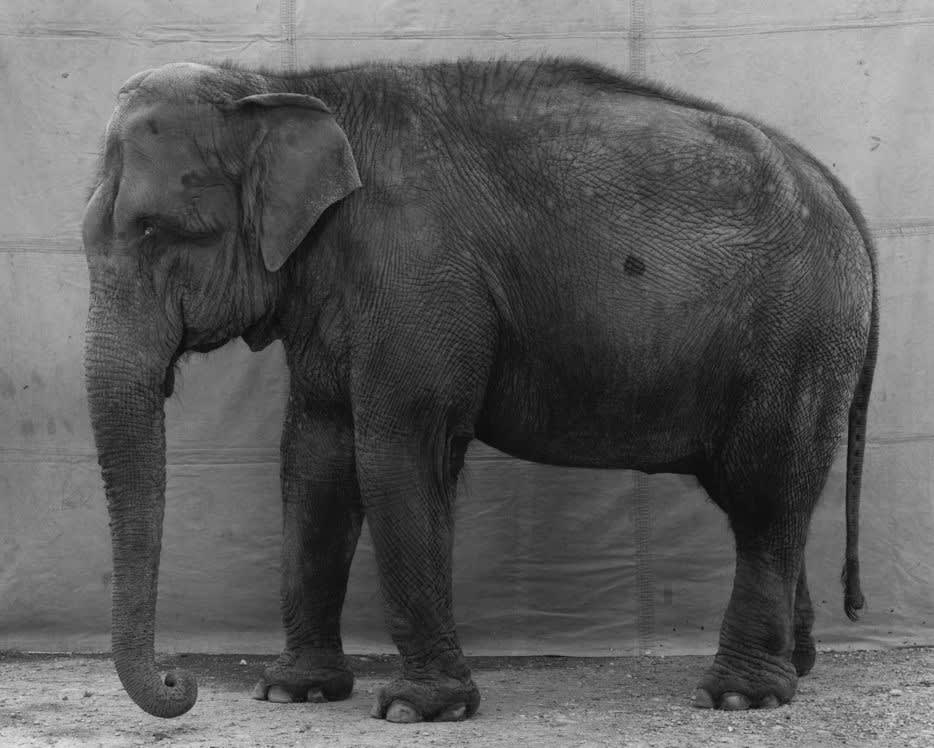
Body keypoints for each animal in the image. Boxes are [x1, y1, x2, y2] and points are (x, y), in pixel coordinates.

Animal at [83, 57, 878, 723]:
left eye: (158, 231)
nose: (179, 679)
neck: (285, 87)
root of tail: (837, 189)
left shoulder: (417, 275)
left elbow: (400, 451)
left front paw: (418, 710)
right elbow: (315, 459)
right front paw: (292, 691)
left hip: (798, 335)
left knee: (767, 490)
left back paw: (740, 695)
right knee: (766, 500)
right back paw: (795, 669)